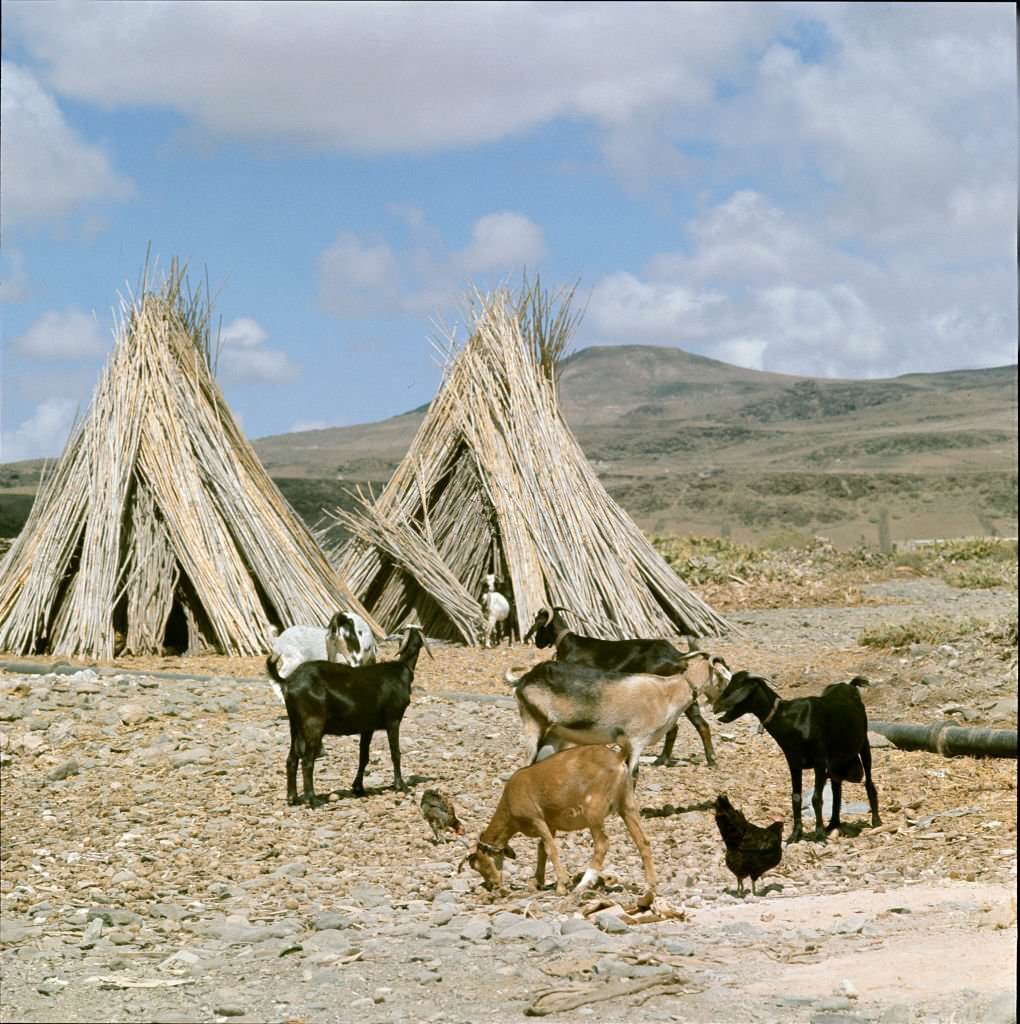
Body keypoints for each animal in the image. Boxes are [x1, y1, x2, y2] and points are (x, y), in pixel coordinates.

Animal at [265, 626, 429, 807]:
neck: (402, 670)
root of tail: (288, 681)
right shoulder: (393, 719)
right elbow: (395, 753)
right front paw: (401, 785)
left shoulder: (368, 727)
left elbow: (364, 756)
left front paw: (358, 788)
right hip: (313, 724)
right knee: (307, 761)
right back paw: (313, 799)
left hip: (295, 726)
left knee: (291, 759)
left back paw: (292, 798)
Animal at [462, 729, 656, 899]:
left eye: (479, 865)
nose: (493, 885)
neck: (510, 801)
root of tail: (618, 757)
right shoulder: (550, 824)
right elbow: (542, 848)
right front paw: (537, 882)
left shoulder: (536, 818)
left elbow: (550, 848)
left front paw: (562, 884)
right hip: (627, 804)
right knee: (643, 841)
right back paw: (651, 885)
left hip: (593, 810)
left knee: (602, 844)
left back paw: (583, 884)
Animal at [505, 655, 729, 778]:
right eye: (722, 676)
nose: (720, 704)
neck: (668, 691)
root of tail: (525, 679)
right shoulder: (636, 740)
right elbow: (632, 774)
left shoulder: (625, 743)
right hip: (534, 724)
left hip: (556, 735)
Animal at [523, 606, 727, 767]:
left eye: (538, 623)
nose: (537, 643)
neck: (571, 645)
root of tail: (677, 655)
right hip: (686, 696)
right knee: (699, 724)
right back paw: (705, 760)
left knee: (678, 727)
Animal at [712, 671, 881, 843]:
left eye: (739, 685)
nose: (715, 706)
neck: (792, 720)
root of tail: (850, 686)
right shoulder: (793, 763)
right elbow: (796, 798)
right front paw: (795, 835)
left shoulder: (820, 761)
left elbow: (816, 799)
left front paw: (819, 835)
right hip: (836, 763)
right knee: (836, 787)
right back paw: (833, 824)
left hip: (863, 743)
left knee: (868, 781)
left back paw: (876, 821)